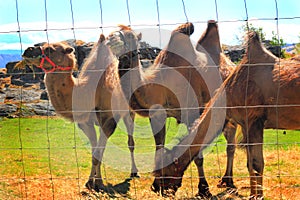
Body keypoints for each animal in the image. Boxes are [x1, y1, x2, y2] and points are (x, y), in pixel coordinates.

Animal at [21, 34, 141, 192]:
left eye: (50, 49)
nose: (27, 50)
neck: (87, 91)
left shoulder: (108, 120)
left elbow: (97, 153)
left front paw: (95, 183)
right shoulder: (85, 123)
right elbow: (95, 151)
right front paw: (93, 182)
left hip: (129, 112)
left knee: (131, 142)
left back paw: (134, 171)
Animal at [106, 21, 238, 196]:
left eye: (130, 36)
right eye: (113, 32)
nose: (109, 39)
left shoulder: (192, 113)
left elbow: (197, 155)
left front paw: (203, 189)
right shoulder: (157, 115)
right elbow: (159, 148)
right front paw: (158, 184)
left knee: (231, 146)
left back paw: (228, 181)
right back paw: (226, 180)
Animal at [152, 30, 300, 198]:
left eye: (162, 172)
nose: (155, 188)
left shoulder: (255, 119)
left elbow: (257, 164)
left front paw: (258, 196)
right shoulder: (245, 123)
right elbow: (250, 163)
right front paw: (252, 194)